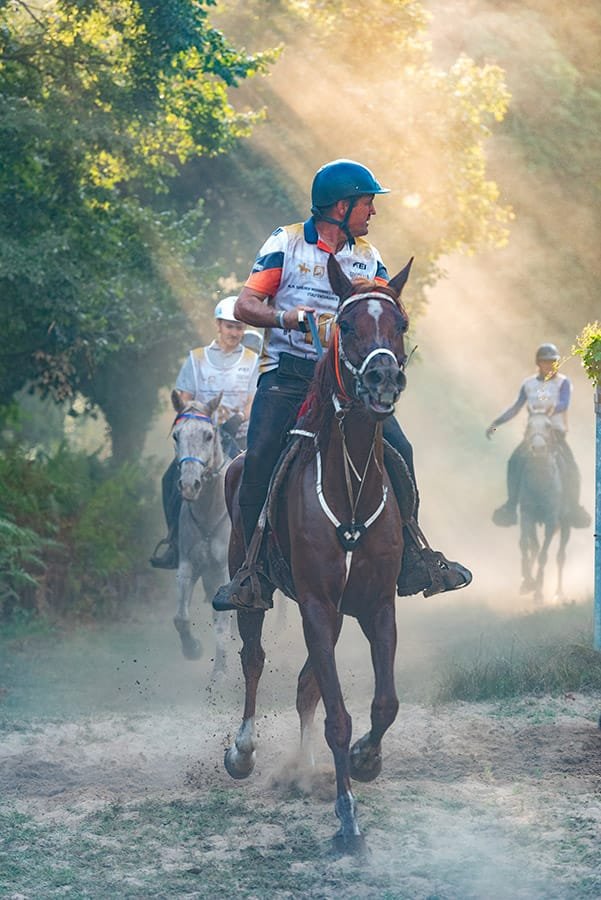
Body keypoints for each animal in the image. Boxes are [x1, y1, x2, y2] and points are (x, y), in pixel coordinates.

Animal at [218, 254, 413, 854]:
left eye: (400, 324)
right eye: (345, 324)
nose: (382, 379)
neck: (349, 486)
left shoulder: (374, 606)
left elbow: (383, 703)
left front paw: (367, 761)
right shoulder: (318, 606)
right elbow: (338, 717)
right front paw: (348, 821)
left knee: (305, 686)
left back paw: (303, 770)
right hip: (252, 588)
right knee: (254, 660)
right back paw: (243, 753)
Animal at [518, 412, 571, 602]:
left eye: (548, 426)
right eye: (528, 425)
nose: (538, 448)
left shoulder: (550, 521)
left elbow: (543, 555)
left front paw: (538, 594)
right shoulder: (527, 515)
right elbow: (526, 545)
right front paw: (527, 582)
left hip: (565, 526)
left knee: (560, 557)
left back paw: (559, 593)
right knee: (533, 546)